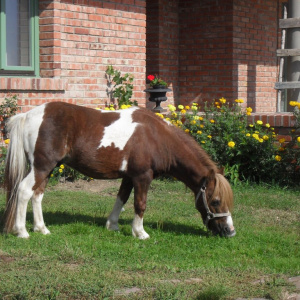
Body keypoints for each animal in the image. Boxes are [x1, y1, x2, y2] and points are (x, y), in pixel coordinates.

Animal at [2, 103, 237, 239]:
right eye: (215, 201)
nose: (230, 232)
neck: (157, 137)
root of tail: (27, 115)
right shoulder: (143, 177)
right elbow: (140, 204)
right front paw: (140, 232)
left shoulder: (129, 177)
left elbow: (121, 199)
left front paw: (112, 225)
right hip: (42, 166)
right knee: (24, 191)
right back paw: (22, 231)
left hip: (47, 169)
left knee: (37, 195)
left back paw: (41, 229)